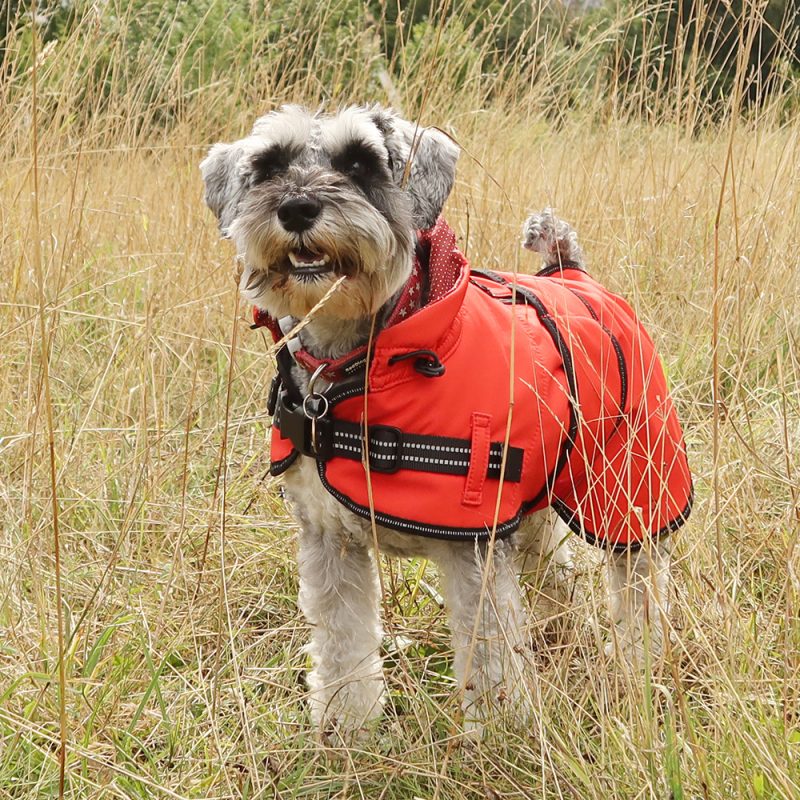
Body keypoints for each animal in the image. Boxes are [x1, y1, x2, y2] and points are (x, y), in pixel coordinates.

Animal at [197, 106, 692, 736]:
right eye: (269, 165)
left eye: (359, 162)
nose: (298, 208)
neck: (365, 362)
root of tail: (572, 272)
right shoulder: (330, 542)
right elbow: (343, 645)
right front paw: (347, 730)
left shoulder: (472, 551)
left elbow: (490, 657)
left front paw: (500, 737)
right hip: (536, 502)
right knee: (557, 572)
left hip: (631, 485)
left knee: (638, 581)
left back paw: (639, 665)